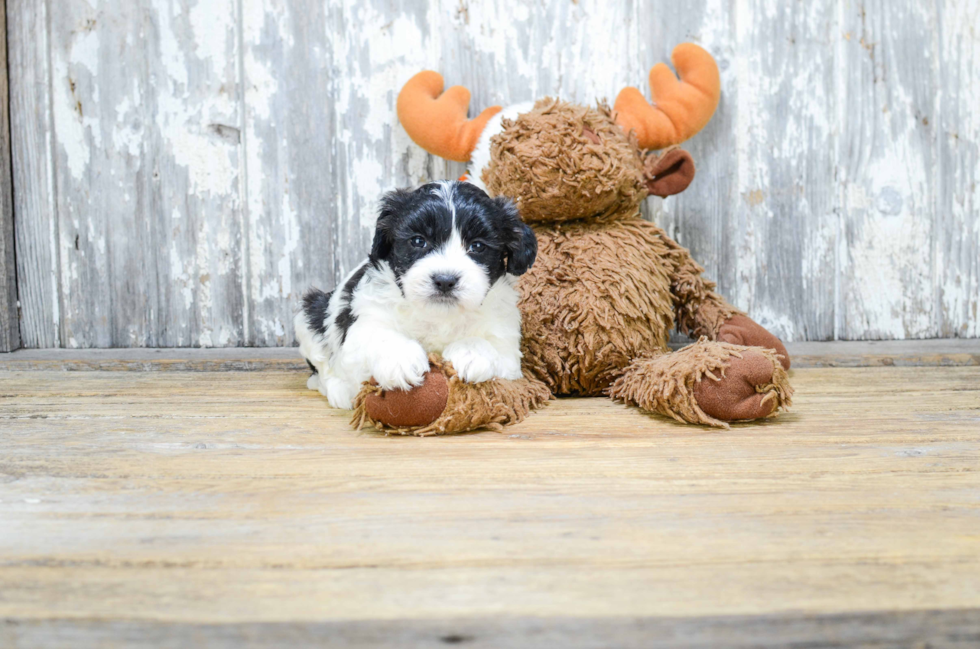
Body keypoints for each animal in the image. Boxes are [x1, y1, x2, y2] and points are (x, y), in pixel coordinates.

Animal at [292, 180, 536, 408]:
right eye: (418, 241)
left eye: (477, 246)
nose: (445, 280)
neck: (439, 316)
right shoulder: (364, 322)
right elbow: (377, 335)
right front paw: (401, 358)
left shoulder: (507, 345)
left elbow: (495, 350)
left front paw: (471, 353)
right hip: (310, 314)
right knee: (322, 368)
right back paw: (339, 390)